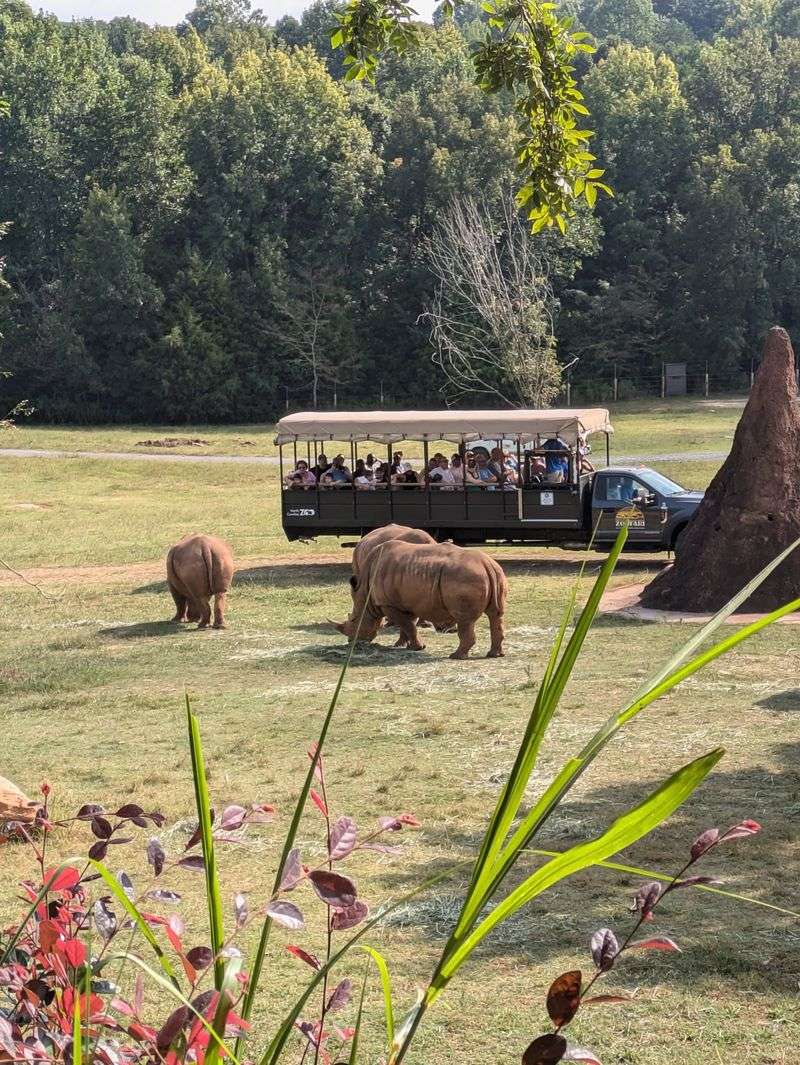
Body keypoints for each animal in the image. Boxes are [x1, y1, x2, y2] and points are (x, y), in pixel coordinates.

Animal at [333, 540, 507, 659]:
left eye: (354, 620)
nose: (350, 641)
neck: (365, 594)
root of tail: (488, 565)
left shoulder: (389, 604)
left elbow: (408, 626)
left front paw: (418, 647)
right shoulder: (407, 601)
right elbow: (407, 625)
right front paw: (401, 645)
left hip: (466, 576)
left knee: (465, 620)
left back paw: (455, 656)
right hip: (496, 575)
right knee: (495, 615)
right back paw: (494, 654)